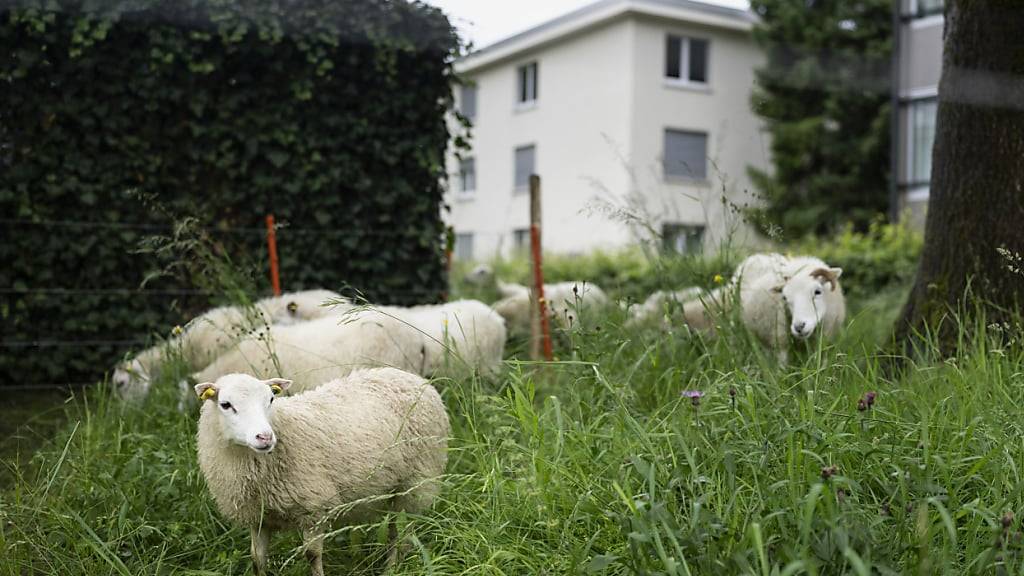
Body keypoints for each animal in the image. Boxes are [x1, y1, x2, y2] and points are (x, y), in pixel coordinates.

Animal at [192, 366, 448, 573]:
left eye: (271, 400)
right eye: (225, 405)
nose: (265, 437)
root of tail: (411, 377)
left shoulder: (314, 509)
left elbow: (312, 556)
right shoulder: (258, 517)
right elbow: (257, 559)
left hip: (418, 482)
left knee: (403, 533)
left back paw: (391, 569)